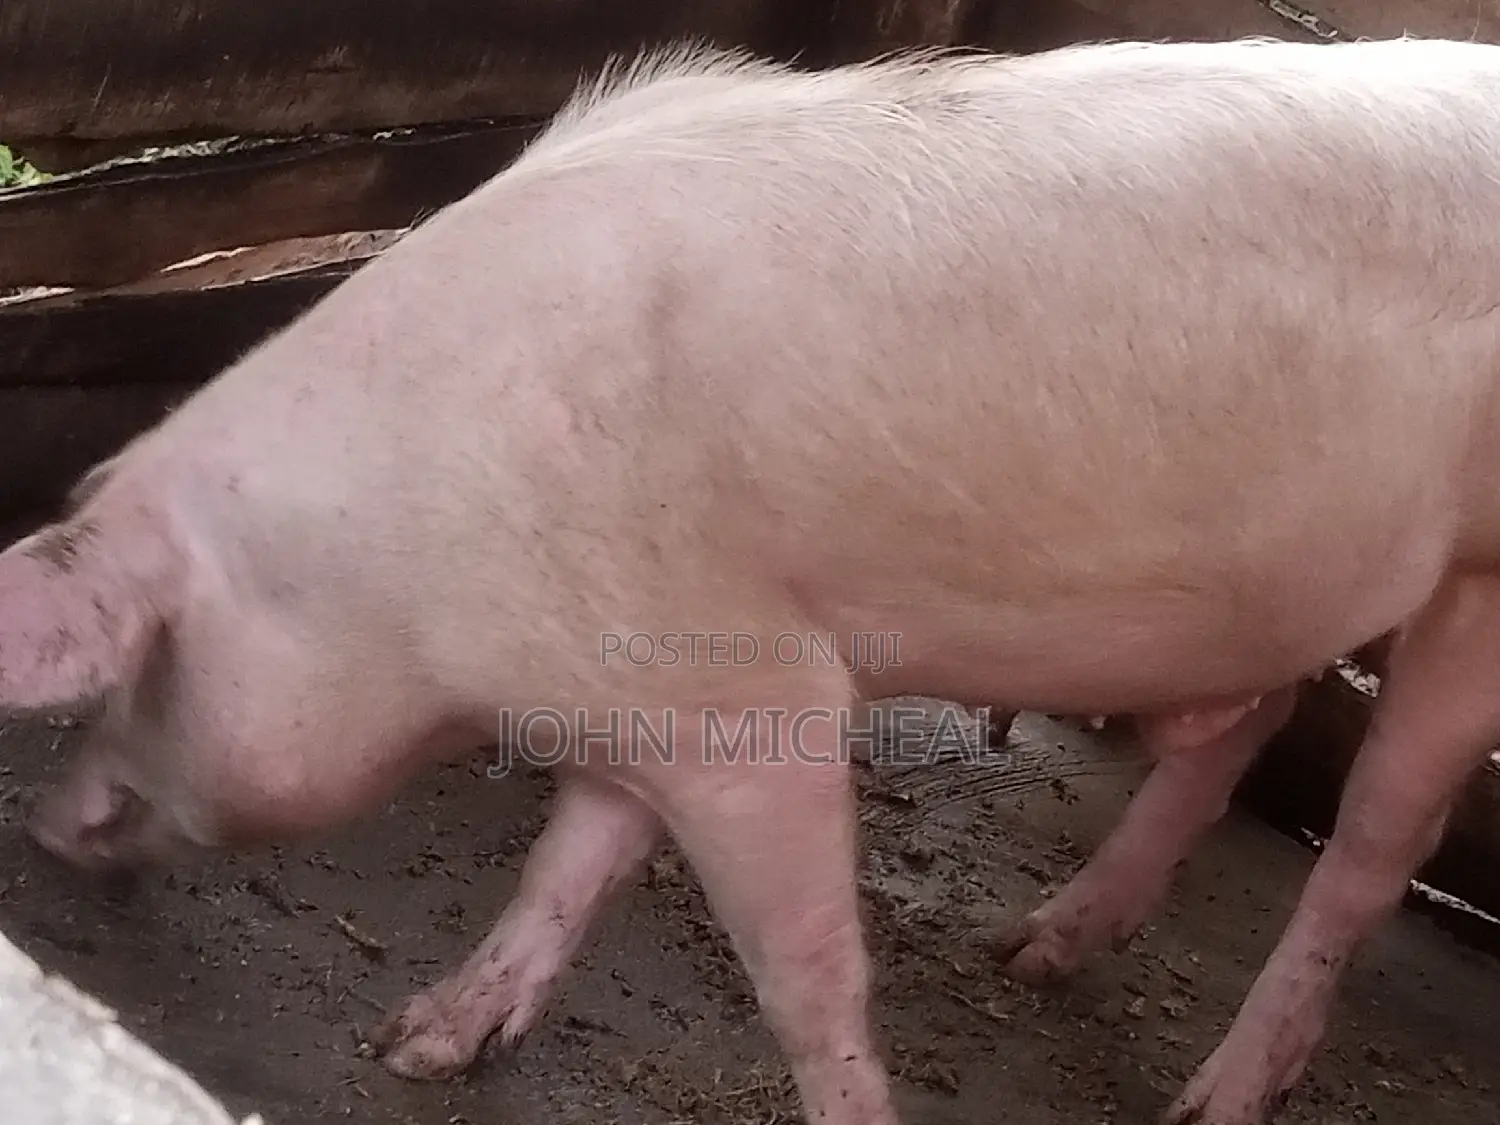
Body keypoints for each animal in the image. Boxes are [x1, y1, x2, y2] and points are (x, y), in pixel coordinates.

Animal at [7, 34, 1500, 1125]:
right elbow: (571, 857)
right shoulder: (640, 677)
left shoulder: (752, 694)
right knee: (1246, 728)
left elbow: (806, 972)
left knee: (1374, 850)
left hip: (1474, 587)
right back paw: (1032, 951)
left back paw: (1212, 1101)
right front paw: (418, 1045)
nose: (47, 825)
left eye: (138, 668)